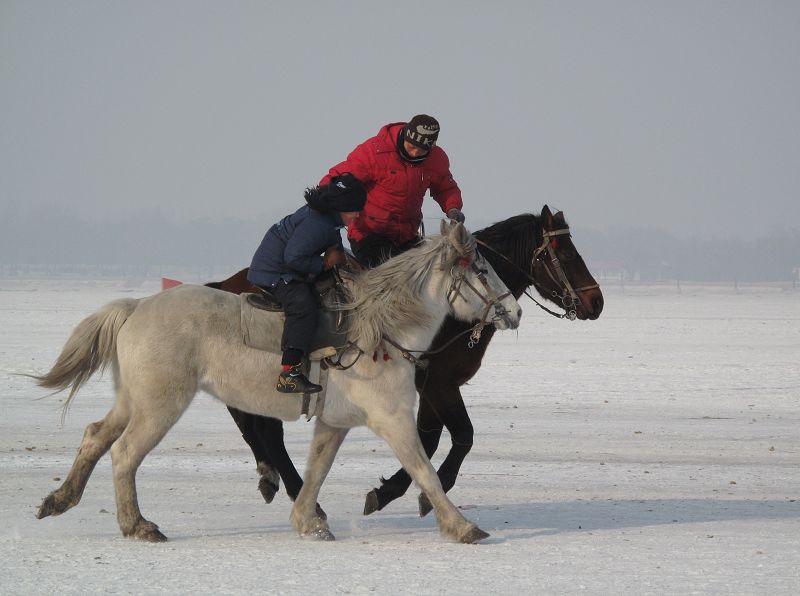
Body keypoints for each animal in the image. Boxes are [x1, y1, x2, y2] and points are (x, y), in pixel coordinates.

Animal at [32, 221, 520, 544]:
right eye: (481, 270)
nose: (514, 312)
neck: (380, 330)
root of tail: (137, 306)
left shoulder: (334, 423)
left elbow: (316, 471)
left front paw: (309, 521)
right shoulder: (393, 418)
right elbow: (425, 473)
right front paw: (462, 526)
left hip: (133, 400)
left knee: (96, 436)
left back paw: (60, 499)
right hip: (160, 405)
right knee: (125, 453)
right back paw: (138, 525)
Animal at [209, 207, 604, 520]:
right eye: (567, 254)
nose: (596, 301)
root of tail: (225, 283)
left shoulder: (433, 387)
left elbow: (430, 439)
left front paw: (397, 491)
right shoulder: (438, 383)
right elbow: (460, 436)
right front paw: (406, 493)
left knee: (256, 425)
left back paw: (271, 476)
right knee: (264, 429)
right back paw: (294, 489)